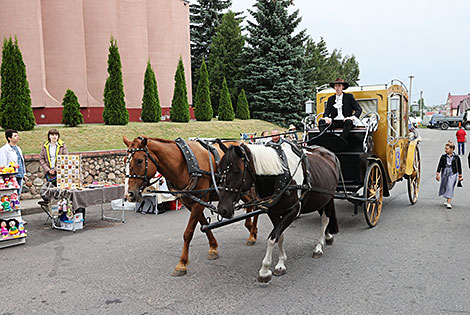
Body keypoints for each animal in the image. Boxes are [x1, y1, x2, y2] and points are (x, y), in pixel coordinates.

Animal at [123, 136, 258, 276]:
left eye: (139, 160)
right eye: (124, 161)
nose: (129, 194)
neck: (185, 164)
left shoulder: (199, 202)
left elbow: (188, 233)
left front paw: (181, 263)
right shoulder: (190, 203)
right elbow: (204, 224)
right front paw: (213, 247)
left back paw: (252, 232)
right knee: (251, 202)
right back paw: (251, 229)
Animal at [215, 144, 340, 284]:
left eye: (237, 171)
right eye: (219, 170)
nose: (222, 209)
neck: (282, 175)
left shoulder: (293, 211)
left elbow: (272, 238)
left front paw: (265, 270)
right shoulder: (273, 211)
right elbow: (279, 236)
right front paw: (281, 263)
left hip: (329, 197)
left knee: (325, 220)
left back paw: (319, 246)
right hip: (320, 198)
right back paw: (327, 236)